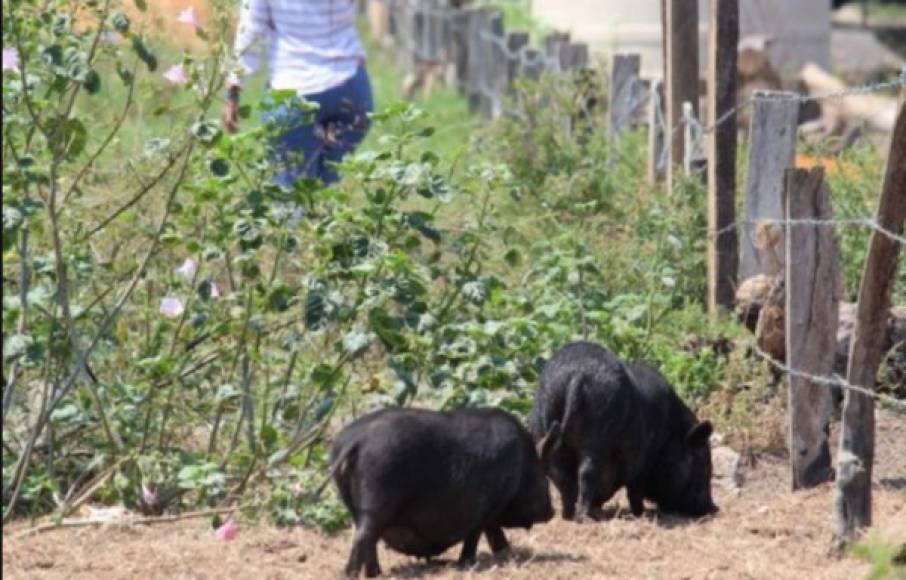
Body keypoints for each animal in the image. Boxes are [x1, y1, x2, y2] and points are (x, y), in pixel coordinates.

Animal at [330, 406, 556, 576]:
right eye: (545, 479)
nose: (552, 512)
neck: (522, 465)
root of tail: (354, 441)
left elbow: (492, 532)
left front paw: (506, 553)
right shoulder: (487, 507)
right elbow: (478, 533)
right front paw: (469, 563)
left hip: (357, 504)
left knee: (368, 538)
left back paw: (375, 573)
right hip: (376, 495)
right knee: (363, 536)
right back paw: (351, 575)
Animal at [528, 344, 712, 520]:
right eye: (703, 463)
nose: (713, 508)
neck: (669, 434)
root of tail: (577, 375)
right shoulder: (641, 460)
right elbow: (635, 488)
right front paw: (640, 514)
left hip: (544, 419)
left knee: (558, 471)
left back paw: (568, 515)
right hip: (597, 433)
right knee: (586, 472)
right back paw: (585, 517)